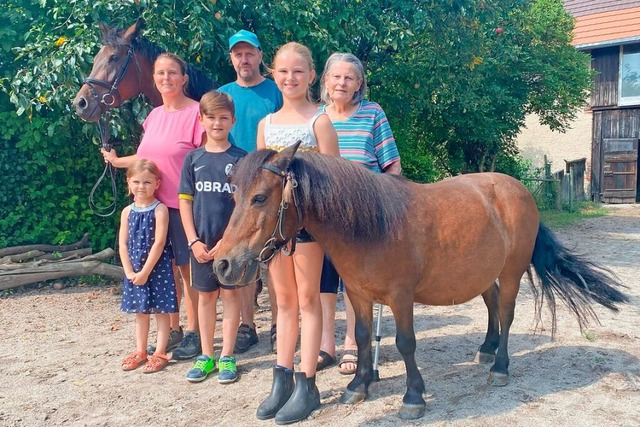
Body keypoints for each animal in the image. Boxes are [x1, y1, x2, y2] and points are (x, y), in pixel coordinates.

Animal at [212, 142, 628, 420]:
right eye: (235, 196)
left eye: (260, 197)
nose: (223, 264)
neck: (371, 226)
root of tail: (520, 190)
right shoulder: (360, 295)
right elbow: (363, 337)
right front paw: (359, 385)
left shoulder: (400, 297)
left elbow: (405, 343)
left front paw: (413, 397)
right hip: (481, 273)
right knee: (493, 304)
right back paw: (487, 348)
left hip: (510, 272)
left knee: (507, 313)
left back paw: (500, 366)